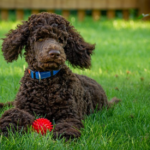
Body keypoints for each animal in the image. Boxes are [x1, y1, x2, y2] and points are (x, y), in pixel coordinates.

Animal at [0, 12, 119, 140]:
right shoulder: (23, 108)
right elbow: (14, 114)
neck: (46, 81)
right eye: (40, 38)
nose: (55, 53)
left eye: (60, 40)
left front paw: (65, 135)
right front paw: (6, 129)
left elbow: (68, 124)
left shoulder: (69, 114)